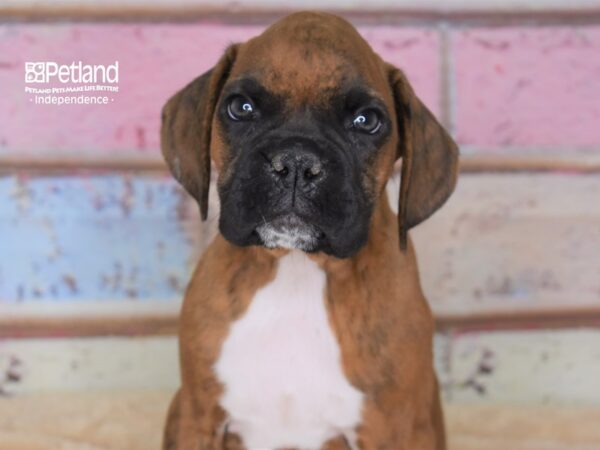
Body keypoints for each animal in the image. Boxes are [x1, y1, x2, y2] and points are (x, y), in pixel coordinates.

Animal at [162, 10, 458, 450]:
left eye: (366, 121)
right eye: (241, 107)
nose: (296, 162)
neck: (296, 268)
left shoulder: (396, 430)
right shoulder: (198, 419)